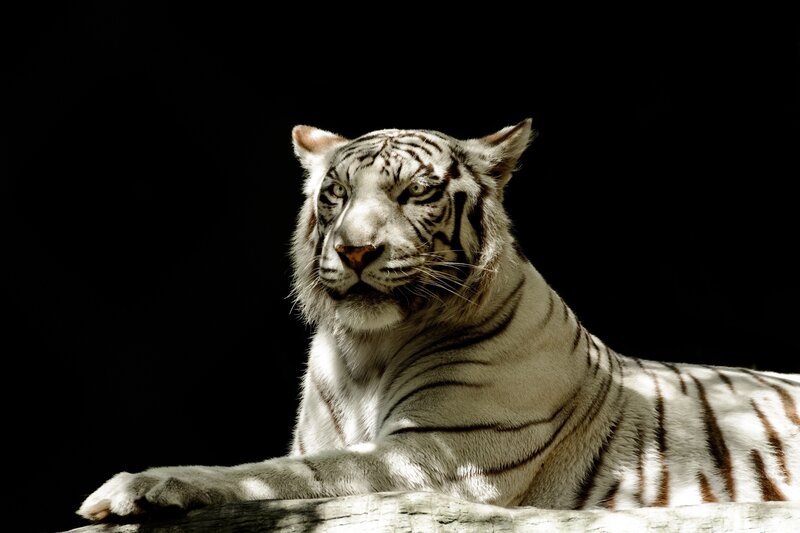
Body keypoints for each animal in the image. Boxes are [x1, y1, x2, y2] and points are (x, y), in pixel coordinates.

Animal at [78, 119, 799, 522]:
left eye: (415, 193)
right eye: (336, 193)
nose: (356, 250)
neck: (365, 352)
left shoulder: (435, 456)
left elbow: (275, 474)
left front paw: (139, 485)